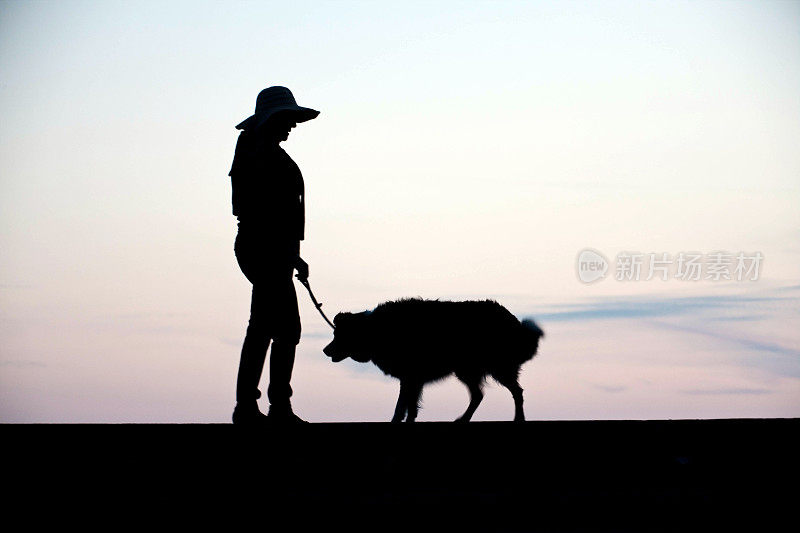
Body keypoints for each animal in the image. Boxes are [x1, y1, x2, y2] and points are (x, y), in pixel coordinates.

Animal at [324, 298, 544, 422]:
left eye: (338, 336)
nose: (325, 350)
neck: (374, 331)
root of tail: (513, 322)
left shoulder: (410, 376)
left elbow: (401, 406)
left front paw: (396, 422)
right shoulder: (413, 379)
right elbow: (409, 407)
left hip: (493, 368)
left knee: (515, 392)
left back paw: (519, 419)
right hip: (468, 370)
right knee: (479, 395)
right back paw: (464, 420)